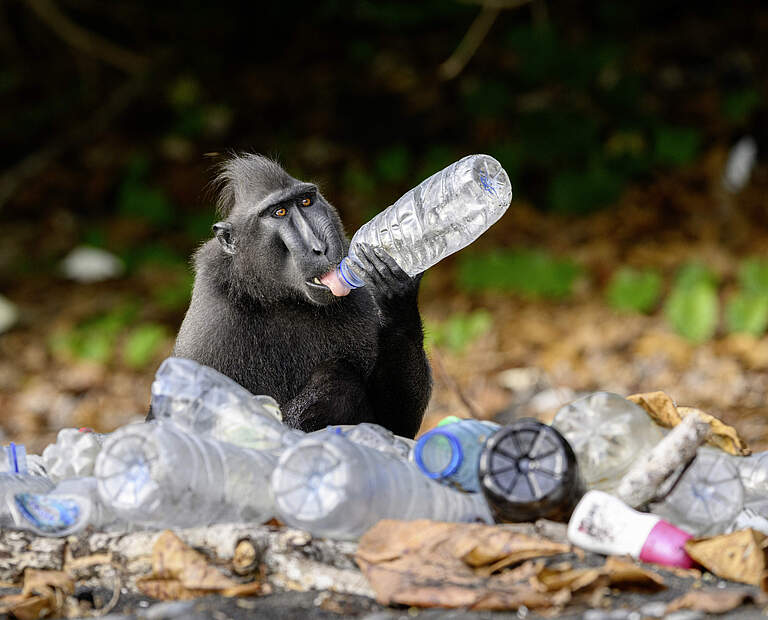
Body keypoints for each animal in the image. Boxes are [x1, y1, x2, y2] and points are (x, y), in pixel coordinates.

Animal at [148, 154, 432, 438]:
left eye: (306, 201)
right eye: (279, 212)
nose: (320, 248)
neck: (282, 299)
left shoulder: (362, 299)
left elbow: (396, 426)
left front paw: (397, 292)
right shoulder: (209, 328)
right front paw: (329, 388)